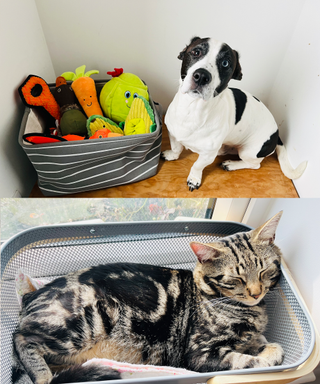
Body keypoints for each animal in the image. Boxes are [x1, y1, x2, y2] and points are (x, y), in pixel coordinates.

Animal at [11, 212, 284, 382]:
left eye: (264, 271)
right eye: (235, 279)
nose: (256, 293)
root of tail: (30, 299)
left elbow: (266, 345)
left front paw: (265, 348)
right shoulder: (200, 353)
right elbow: (248, 361)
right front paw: (263, 359)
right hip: (89, 321)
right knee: (22, 339)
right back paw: (43, 375)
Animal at [162, 37, 308, 190]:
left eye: (225, 63)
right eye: (196, 52)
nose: (201, 76)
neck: (192, 109)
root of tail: (277, 134)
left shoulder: (208, 155)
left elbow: (197, 166)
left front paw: (194, 178)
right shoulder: (172, 134)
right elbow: (176, 148)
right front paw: (172, 155)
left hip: (248, 152)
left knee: (255, 165)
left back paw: (232, 164)